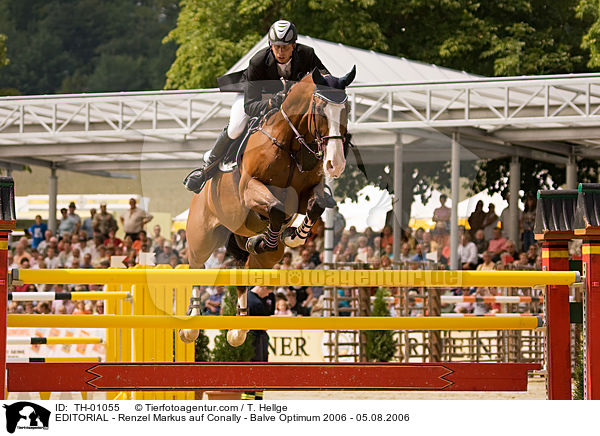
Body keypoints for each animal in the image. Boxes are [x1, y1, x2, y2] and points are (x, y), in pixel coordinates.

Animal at [178, 67, 356, 348]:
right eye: (319, 109)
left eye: (346, 109)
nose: (335, 164)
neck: (290, 143)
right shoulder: (250, 189)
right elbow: (276, 208)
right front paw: (276, 235)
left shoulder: (306, 194)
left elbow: (317, 205)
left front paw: (293, 236)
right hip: (202, 236)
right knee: (196, 266)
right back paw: (192, 324)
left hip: (256, 252)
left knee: (244, 269)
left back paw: (238, 329)